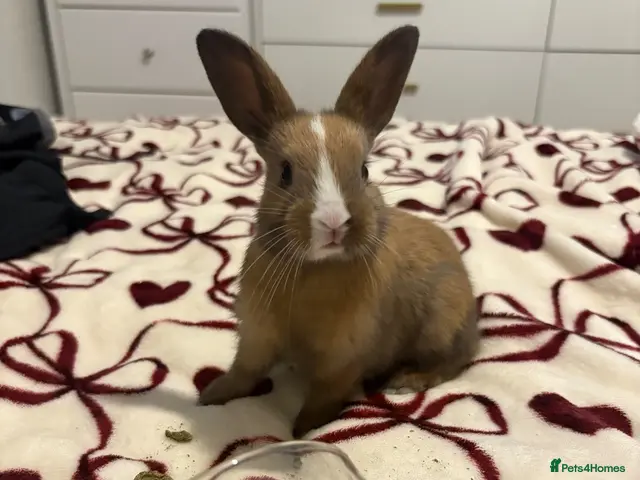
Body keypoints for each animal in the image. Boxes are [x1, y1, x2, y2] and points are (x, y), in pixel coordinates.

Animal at [195, 24, 479, 438]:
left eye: (364, 170)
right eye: (284, 172)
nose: (333, 222)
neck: (316, 269)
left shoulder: (344, 357)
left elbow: (323, 397)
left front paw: (301, 432)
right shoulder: (256, 337)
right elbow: (244, 372)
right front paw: (210, 396)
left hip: (442, 323)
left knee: (452, 363)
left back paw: (406, 380)